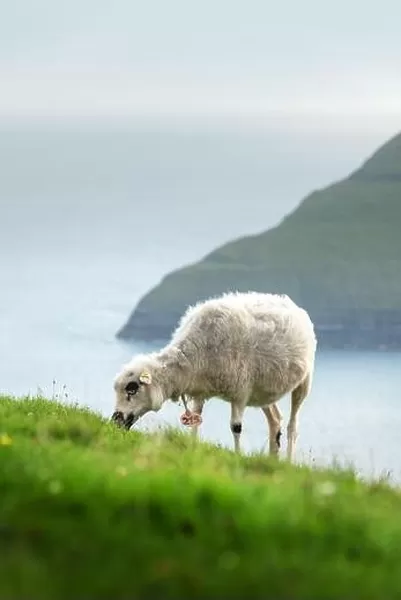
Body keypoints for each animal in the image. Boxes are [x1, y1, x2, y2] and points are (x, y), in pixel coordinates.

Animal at [111, 290, 316, 460]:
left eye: (132, 389)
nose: (115, 421)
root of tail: (291, 304)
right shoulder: (200, 391)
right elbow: (195, 421)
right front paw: (193, 448)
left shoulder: (241, 392)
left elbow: (236, 427)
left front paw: (237, 456)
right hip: (263, 391)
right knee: (275, 420)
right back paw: (272, 461)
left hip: (304, 381)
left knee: (292, 426)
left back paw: (287, 462)